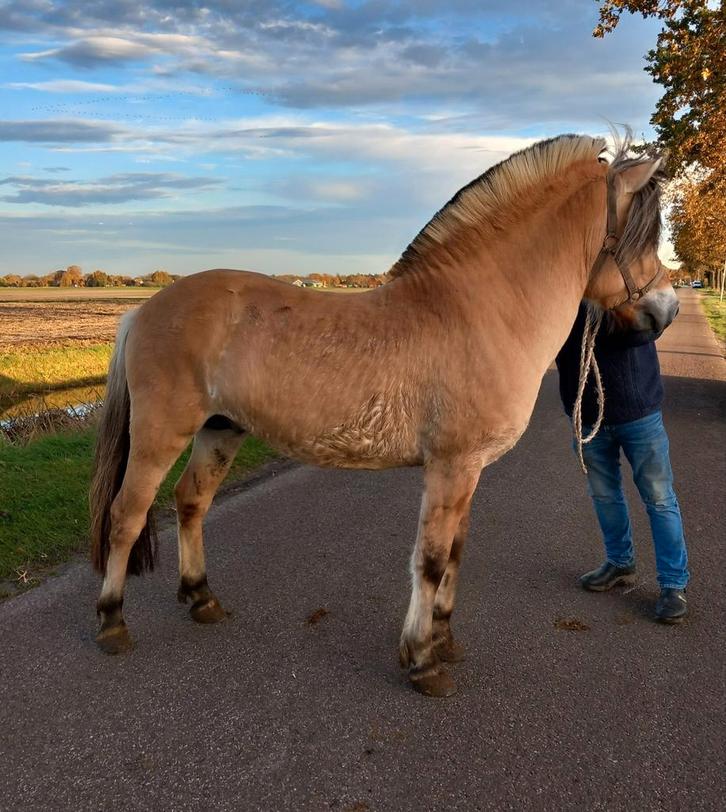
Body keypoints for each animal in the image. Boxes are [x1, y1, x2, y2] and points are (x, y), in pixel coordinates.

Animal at [89, 133, 678, 697]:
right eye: (644, 236)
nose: (667, 310)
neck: (483, 312)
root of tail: (142, 310)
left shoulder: (470, 471)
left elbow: (456, 553)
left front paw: (443, 640)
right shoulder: (450, 467)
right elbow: (431, 559)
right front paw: (421, 661)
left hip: (220, 431)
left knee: (190, 502)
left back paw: (201, 598)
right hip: (160, 434)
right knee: (127, 516)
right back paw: (112, 622)